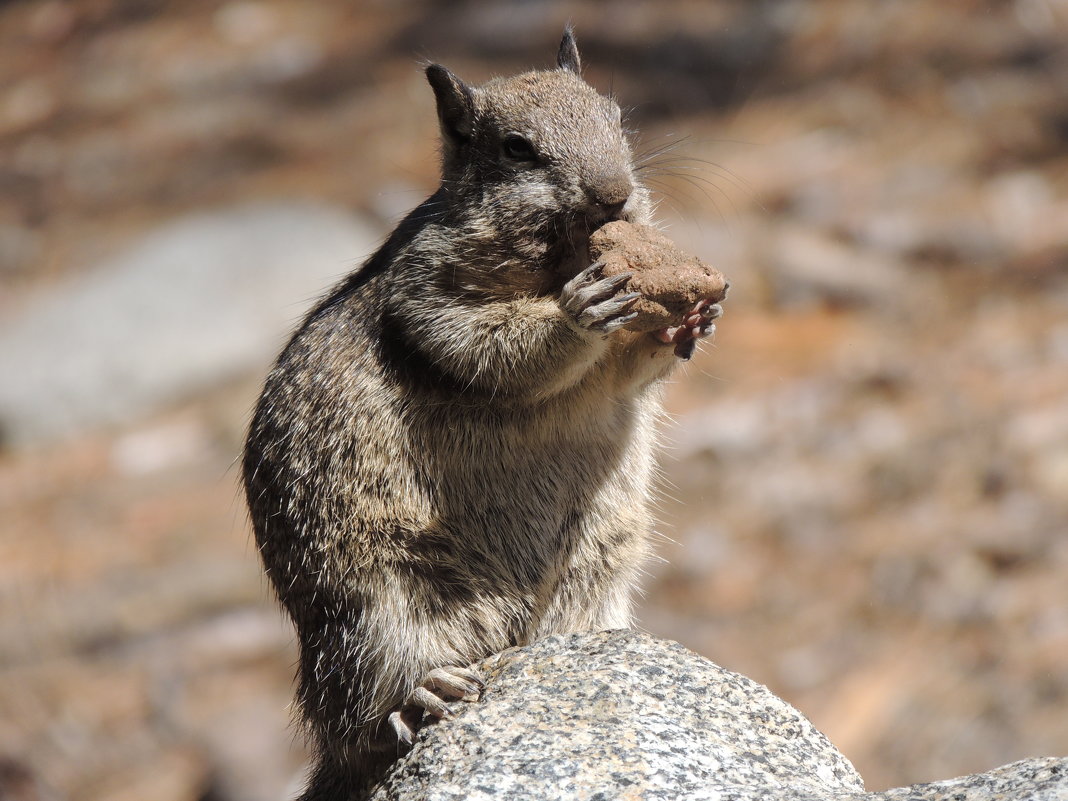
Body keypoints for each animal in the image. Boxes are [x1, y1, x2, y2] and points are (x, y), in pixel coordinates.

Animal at [243, 28, 726, 798]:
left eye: (617, 117)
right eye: (517, 148)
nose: (616, 195)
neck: (559, 260)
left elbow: (631, 374)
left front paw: (691, 321)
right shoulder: (430, 297)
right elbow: (492, 348)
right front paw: (582, 311)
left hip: (594, 571)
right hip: (378, 609)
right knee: (359, 714)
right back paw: (420, 695)